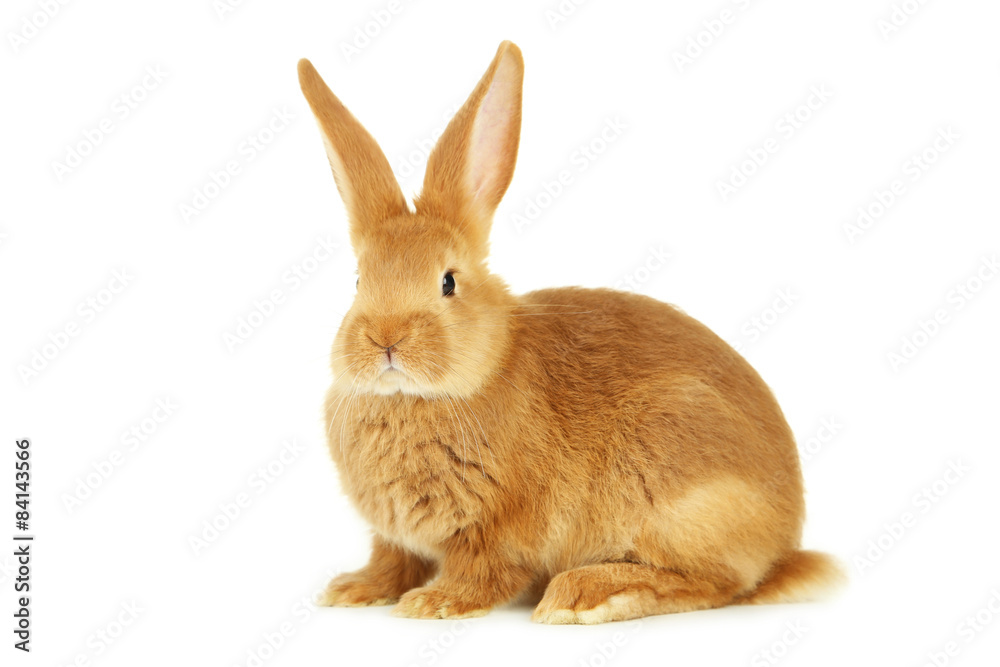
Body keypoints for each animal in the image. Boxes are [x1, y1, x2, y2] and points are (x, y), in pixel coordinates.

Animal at [298, 41, 843, 624]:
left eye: (448, 282)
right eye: (358, 280)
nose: (386, 339)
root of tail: (784, 543)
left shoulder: (498, 528)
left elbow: (482, 570)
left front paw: (435, 603)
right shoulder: (394, 536)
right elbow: (391, 559)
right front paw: (354, 589)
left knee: (716, 581)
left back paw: (586, 593)